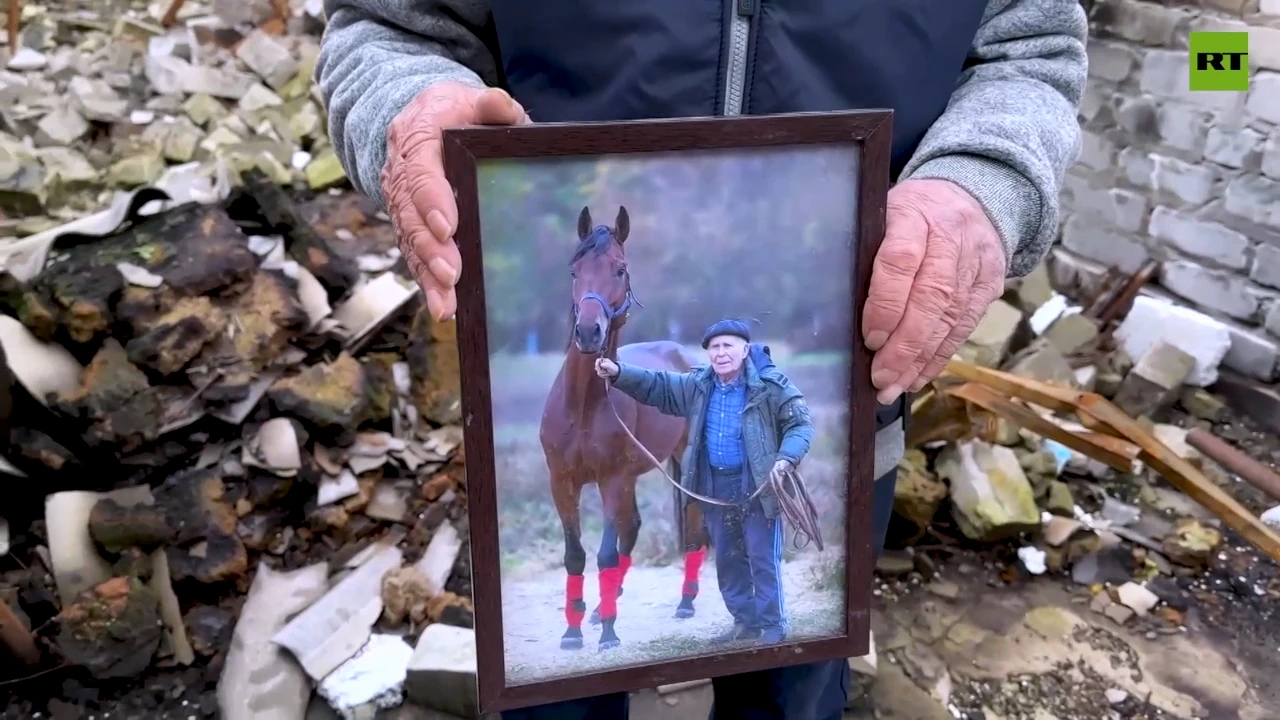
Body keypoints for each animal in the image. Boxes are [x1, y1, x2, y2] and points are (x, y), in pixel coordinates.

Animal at [537, 204, 711, 648]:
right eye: (575, 269)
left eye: (619, 268)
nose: (588, 331)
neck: (582, 405)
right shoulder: (562, 482)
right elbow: (576, 555)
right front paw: (573, 630)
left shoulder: (610, 479)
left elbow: (605, 554)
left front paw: (608, 635)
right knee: (631, 529)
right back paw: (602, 608)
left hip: (682, 466)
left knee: (692, 527)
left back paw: (685, 603)